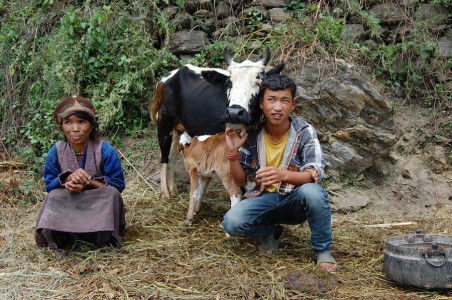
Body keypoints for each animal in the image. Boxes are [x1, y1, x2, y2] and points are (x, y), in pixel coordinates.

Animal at [150, 47, 282, 199]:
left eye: (258, 82)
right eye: (229, 83)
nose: (234, 112)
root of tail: (167, 78)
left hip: (178, 129)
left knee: (171, 156)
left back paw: (173, 190)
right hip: (164, 123)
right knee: (163, 158)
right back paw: (165, 193)